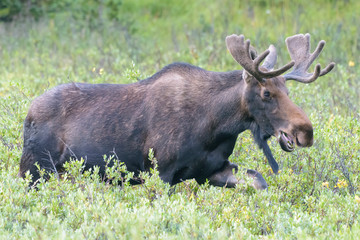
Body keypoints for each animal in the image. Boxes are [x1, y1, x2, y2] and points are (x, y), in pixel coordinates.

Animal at [19, 33, 334, 189]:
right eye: (267, 93)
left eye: (288, 91)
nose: (305, 132)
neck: (216, 127)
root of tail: (28, 114)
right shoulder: (161, 171)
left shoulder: (213, 171)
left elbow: (258, 182)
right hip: (34, 170)